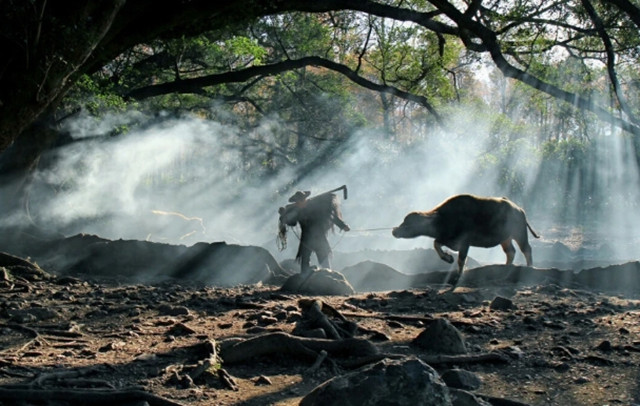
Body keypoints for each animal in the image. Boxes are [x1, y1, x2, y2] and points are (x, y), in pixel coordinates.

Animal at [392, 193, 536, 282]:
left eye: (408, 223)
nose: (394, 231)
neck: (443, 219)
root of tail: (519, 210)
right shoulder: (449, 240)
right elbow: (436, 243)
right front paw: (448, 258)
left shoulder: (465, 243)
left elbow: (461, 260)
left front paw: (458, 276)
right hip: (505, 239)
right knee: (511, 251)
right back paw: (505, 267)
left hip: (519, 234)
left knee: (526, 249)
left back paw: (530, 267)